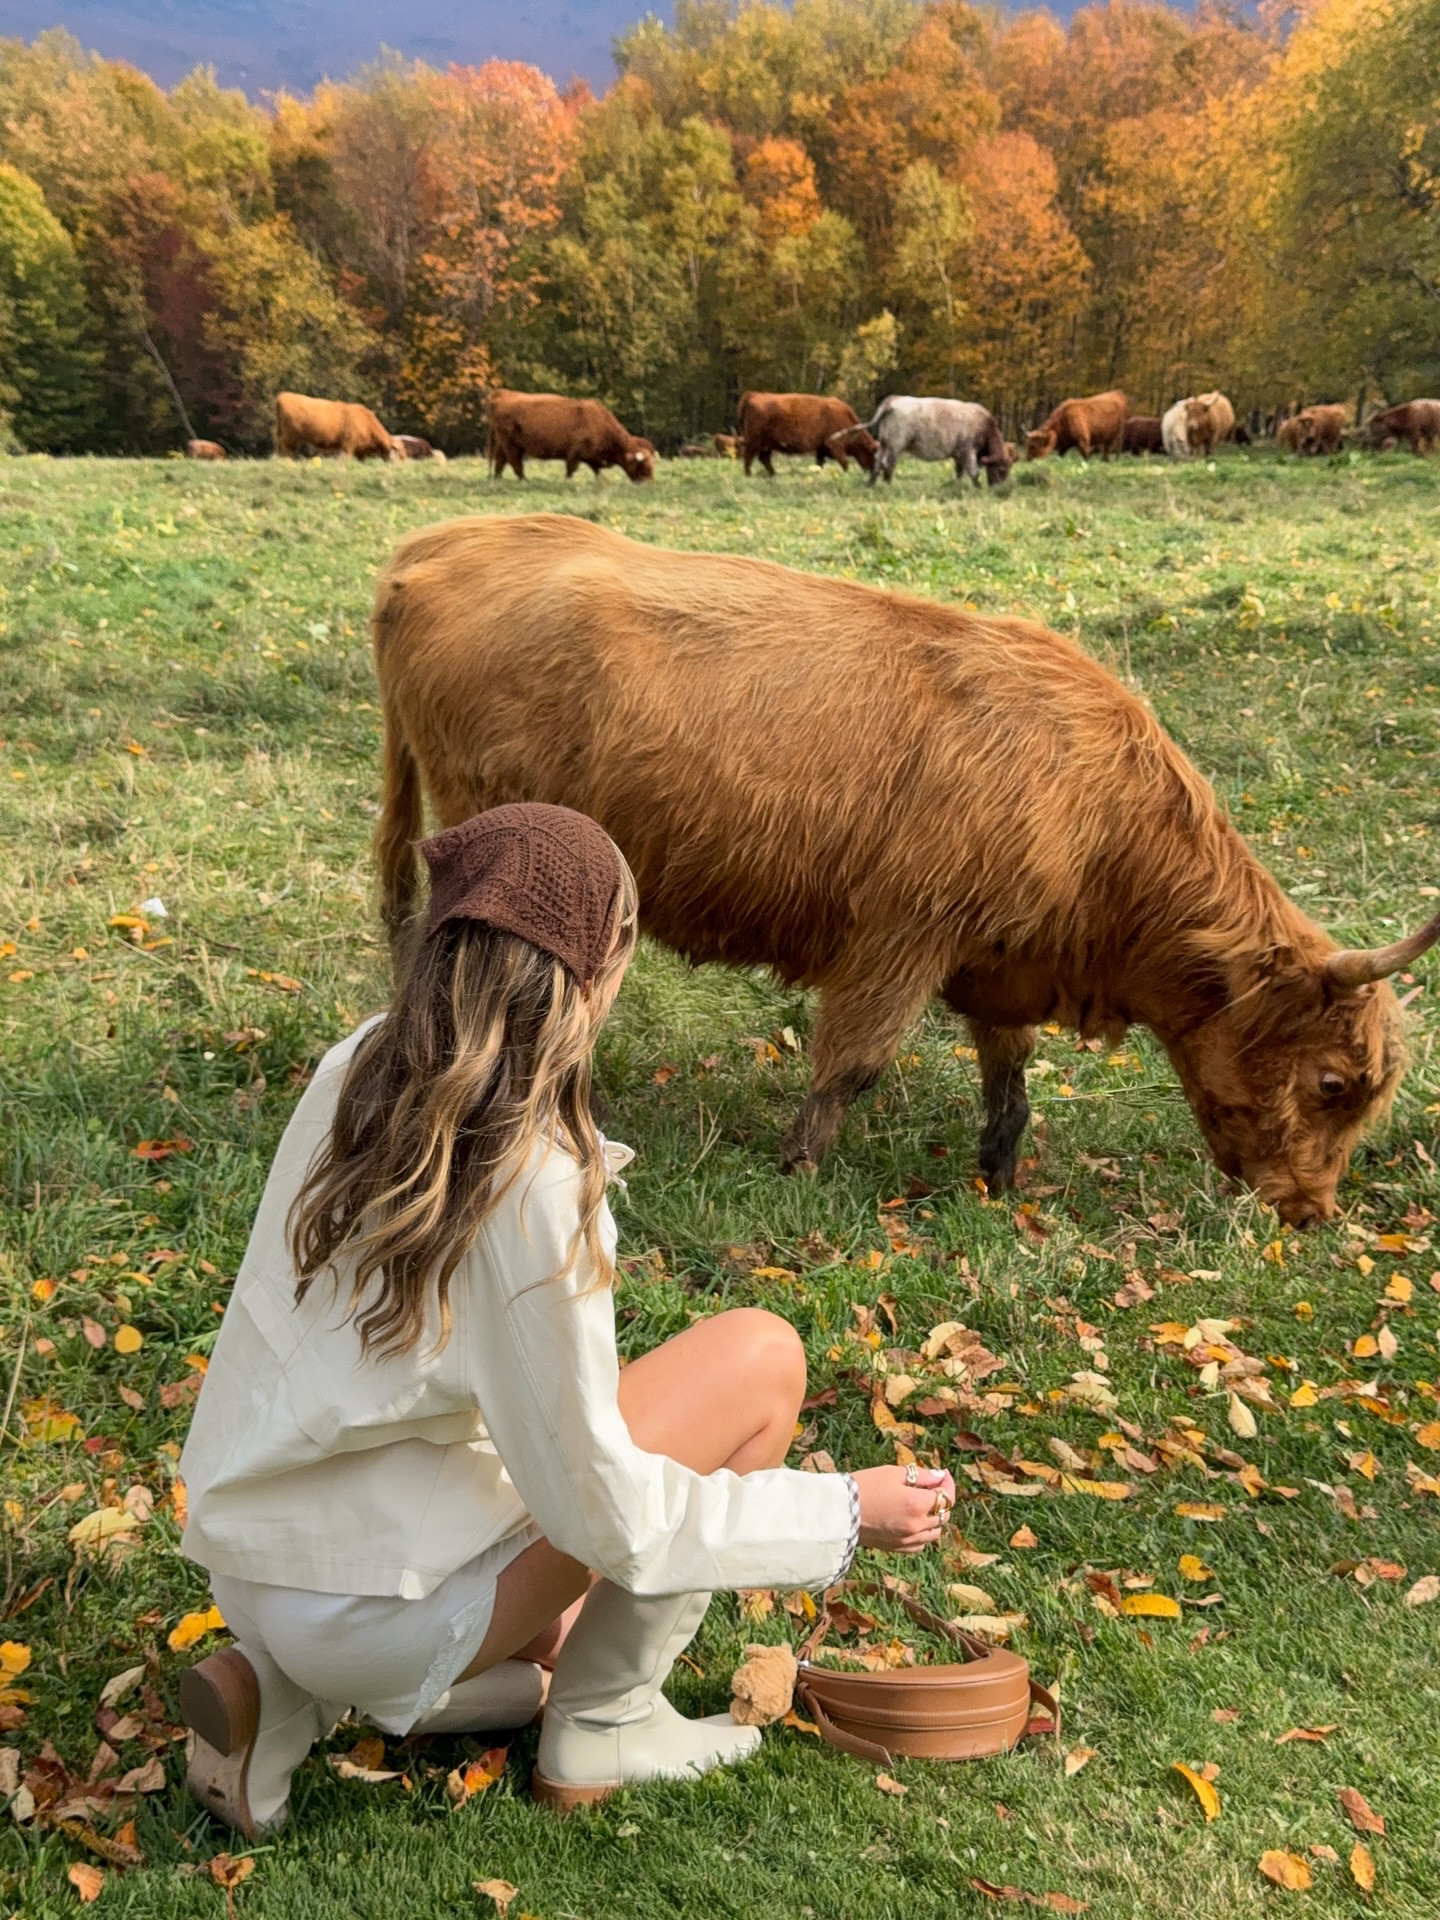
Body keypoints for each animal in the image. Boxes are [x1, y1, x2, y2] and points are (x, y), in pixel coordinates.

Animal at [371, 513, 1438, 1227]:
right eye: (1334, 1083)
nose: (1312, 1210)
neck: (1102, 840)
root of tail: (440, 542)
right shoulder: (903, 935)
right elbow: (854, 1062)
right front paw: (799, 1168)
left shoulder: (1000, 962)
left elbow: (1009, 1076)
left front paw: (997, 1176)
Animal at [488, 390, 654, 484]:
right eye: (644, 466)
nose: (649, 483)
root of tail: (503, 393)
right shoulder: (574, 454)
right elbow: (571, 470)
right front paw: (568, 482)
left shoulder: (592, 459)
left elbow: (597, 472)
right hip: (510, 444)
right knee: (514, 462)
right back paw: (524, 480)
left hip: (505, 444)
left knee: (500, 462)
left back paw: (497, 479)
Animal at [737, 392, 877, 477]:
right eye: (873, 455)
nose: (873, 473)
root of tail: (755, 394)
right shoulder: (835, 445)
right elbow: (844, 462)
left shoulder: (822, 448)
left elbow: (819, 463)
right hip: (755, 441)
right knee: (748, 456)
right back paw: (749, 475)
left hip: (767, 444)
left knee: (764, 458)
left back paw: (773, 474)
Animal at [829, 397, 1012, 488]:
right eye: (1001, 469)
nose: (999, 489)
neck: (984, 425)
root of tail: (893, 400)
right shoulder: (968, 451)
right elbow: (974, 472)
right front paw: (978, 486)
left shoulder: (959, 454)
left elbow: (959, 472)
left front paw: (957, 484)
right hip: (896, 443)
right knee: (888, 463)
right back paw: (888, 484)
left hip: (885, 443)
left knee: (877, 462)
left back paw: (871, 484)